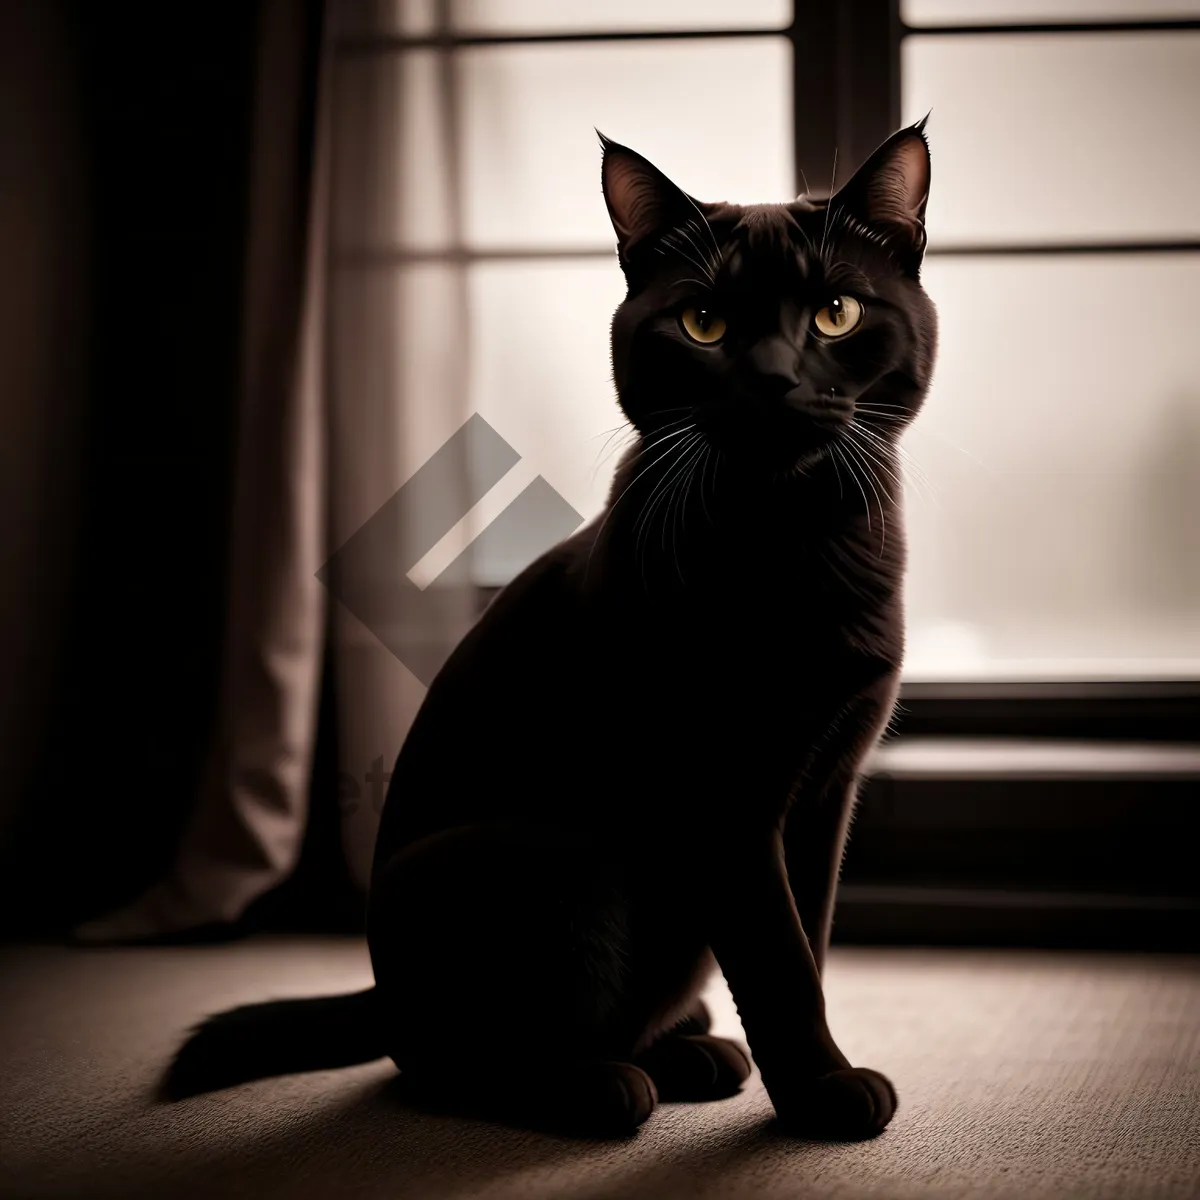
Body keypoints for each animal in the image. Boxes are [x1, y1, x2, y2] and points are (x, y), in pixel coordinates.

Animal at [166, 124, 936, 1142]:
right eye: (703, 323)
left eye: (837, 313)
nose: (773, 379)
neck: (797, 542)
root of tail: (378, 988)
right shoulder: (725, 799)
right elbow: (776, 959)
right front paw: (822, 1095)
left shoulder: (822, 790)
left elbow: (806, 937)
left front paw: (811, 1081)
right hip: (558, 860)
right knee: (447, 1062)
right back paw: (599, 1085)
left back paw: (692, 1053)